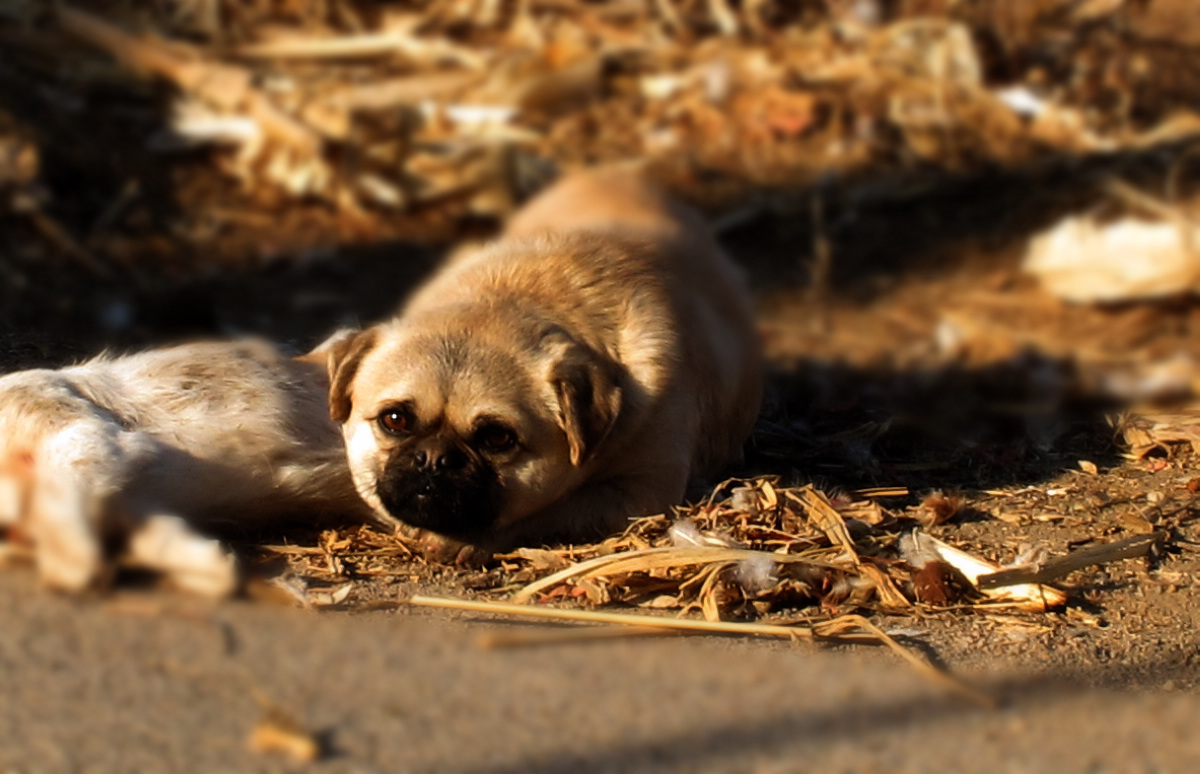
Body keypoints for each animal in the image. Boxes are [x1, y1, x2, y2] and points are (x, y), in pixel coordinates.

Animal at [0, 336, 374, 595]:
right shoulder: (135, 501)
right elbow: (155, 539)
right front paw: (222, 567)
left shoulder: (80, 430)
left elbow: (66, 492)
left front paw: (72, 577)